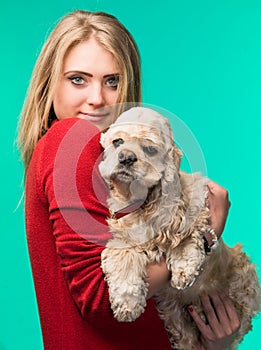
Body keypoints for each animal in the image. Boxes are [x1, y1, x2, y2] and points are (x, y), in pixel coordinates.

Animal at [98, 107, 258, 350]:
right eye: (117, 141)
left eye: (149, 149)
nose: (126, 157)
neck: (146, 203)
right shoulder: (123, 235)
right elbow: (123, 260)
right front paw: (127, 306)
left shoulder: (198, 199)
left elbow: (185, 236)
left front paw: (184, 270)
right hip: (174, 316)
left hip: (244, 275)